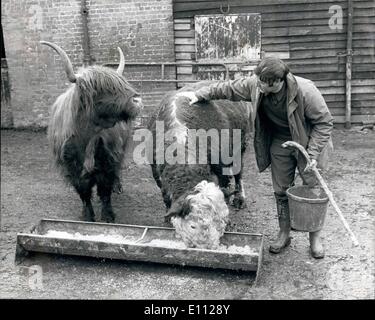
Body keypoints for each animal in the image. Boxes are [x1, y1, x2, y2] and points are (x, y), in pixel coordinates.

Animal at [41, 41, 143, 222]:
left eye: (122, 83)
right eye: (102, 88)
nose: (137, 99)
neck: (88, 136)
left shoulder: (108, 162)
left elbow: (105, 192)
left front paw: (108, 216)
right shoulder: (72, 168)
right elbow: (84, 193)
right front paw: (88, 215)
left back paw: (118, 186)